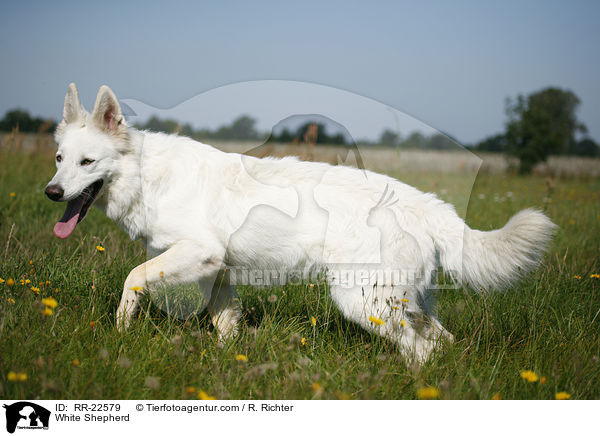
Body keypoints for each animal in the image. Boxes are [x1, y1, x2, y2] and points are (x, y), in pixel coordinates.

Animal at [44, 83, 556, 362]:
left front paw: (121, 331)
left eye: (88, 163)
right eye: (59, 159)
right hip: (406, 303)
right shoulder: (219, 273)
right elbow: (226, 324)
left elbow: (132, 280)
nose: (52, 192)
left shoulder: (198, 254)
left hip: (362, 302)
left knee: (422, 351)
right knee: (442, 342)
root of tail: (427, 205)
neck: (148, 176)